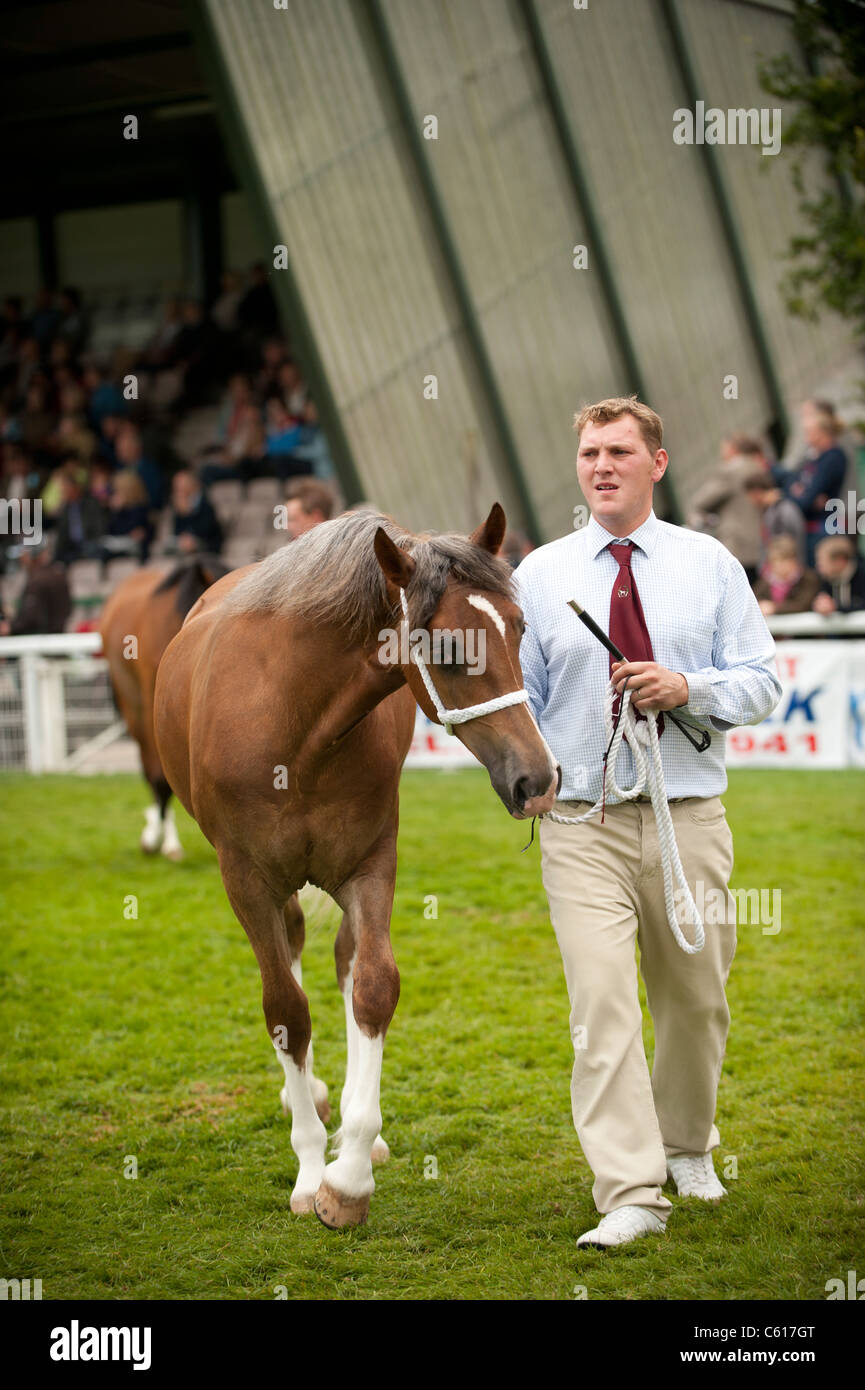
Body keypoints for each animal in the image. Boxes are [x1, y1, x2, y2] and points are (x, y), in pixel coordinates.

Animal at [154, 508, 561, 1228]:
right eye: (448, 649)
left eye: (518, 627)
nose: (536, 779)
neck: (296, 726)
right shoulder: (247, 883)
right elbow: (286, 1010)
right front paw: (310, 1168)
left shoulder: (370, 868)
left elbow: (372, 987)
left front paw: (346, 1177)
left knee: (344, 960)